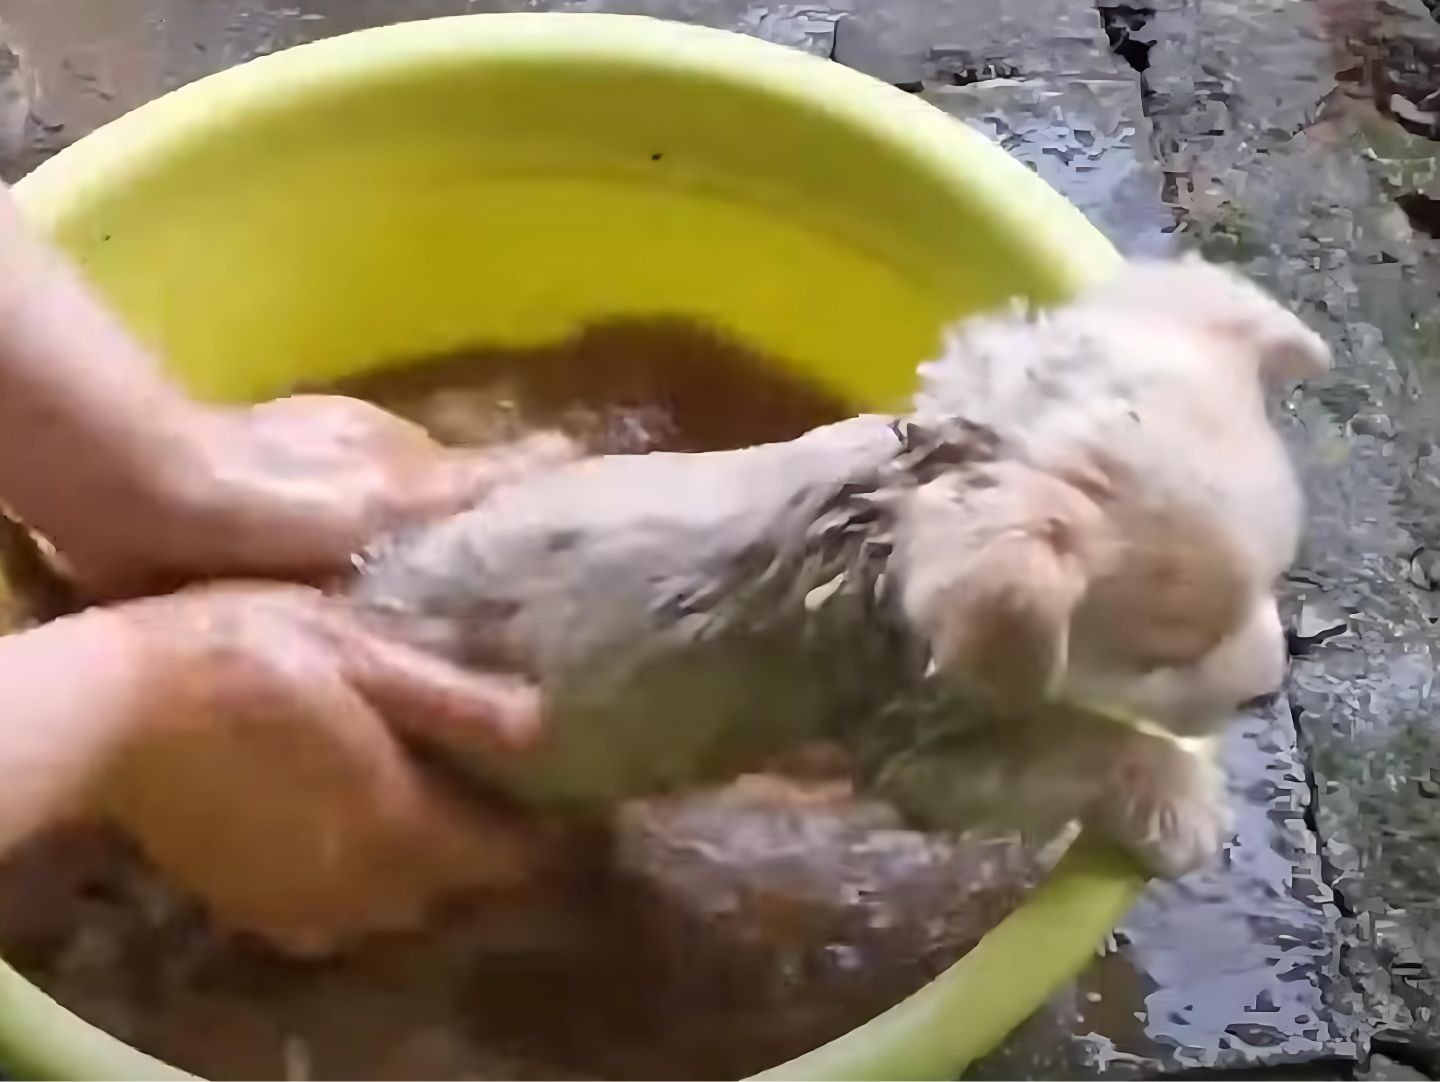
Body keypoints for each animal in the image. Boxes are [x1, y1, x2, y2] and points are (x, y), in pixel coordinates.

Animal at [351, 257, 1324, 881]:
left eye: (1274, 582)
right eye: (1164, 657)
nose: (1266, 692)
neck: (897, 496)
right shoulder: (921, 742)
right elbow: (1083, 741)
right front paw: (1179, 799)